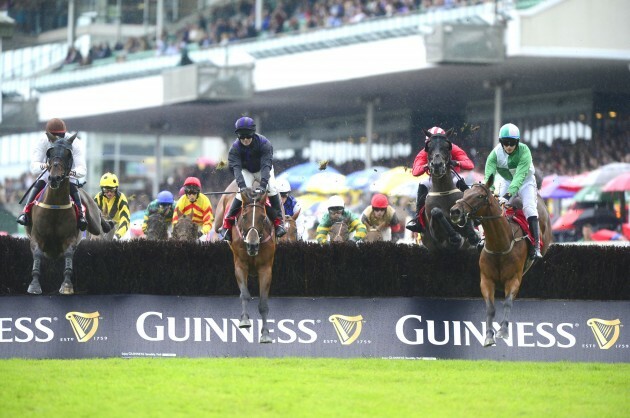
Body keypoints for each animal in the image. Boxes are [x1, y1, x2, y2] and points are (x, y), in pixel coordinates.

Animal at [26, 133, 110, 294]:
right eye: (50, 152)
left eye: (68, 154)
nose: (54, 178)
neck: (55, 205)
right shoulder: (36, 236)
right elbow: (37, 254)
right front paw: (34, 284)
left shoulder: (70, 237)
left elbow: (69, 254)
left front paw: (66, 285)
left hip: (94, 221)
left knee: (99, 222)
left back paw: (108, 224)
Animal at [227, 188, 276, 344]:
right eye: (244, 216)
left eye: (263, 217)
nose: (252, 245)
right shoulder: (240, 265)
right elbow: (244, 294)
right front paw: (244, 320)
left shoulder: (265, 269)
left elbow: (263, 304)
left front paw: (265, 333)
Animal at [450, 176, 552, 346]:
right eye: (465, 193)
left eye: (479, 196)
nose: (455, 211)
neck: (500, 245)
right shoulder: (486, 280)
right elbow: (490, 308)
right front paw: (488, 336)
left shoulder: (514, 279)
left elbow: (508, 303)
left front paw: (503, 331)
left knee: (531, 212)